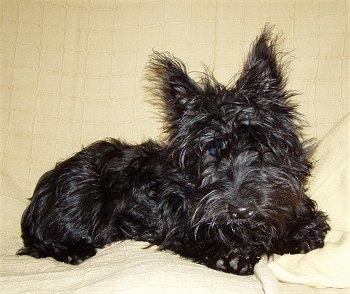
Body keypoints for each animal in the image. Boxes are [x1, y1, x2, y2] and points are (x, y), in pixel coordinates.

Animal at [17, 25, 328, 276]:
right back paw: (74, 251)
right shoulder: (178, 226)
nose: (242, 210)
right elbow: (198, 235)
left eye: (260, 143)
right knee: (39, 243)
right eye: (211, 150)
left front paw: (303, 229)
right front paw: (232, 255)